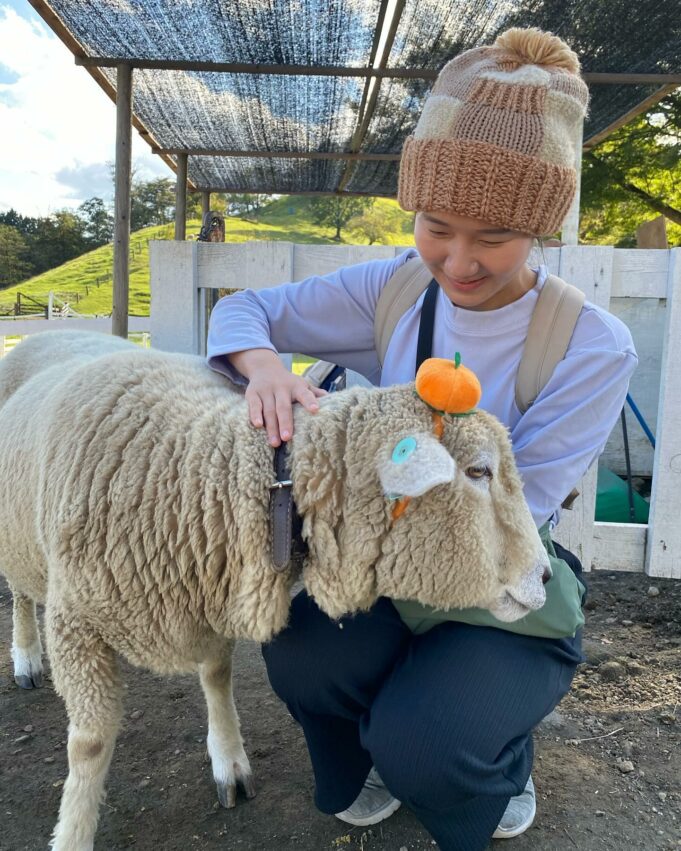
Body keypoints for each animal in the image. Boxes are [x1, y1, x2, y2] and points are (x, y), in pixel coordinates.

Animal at [0, 332, 548, 851]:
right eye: (479, 471)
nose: (544, 577)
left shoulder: (211, 593)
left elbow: (217, 675)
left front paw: (229, 761)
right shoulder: (76, 624)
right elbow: (90, 744)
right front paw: (73, 833)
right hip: (20, 543)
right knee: (21, 594)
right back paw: (26, 656)